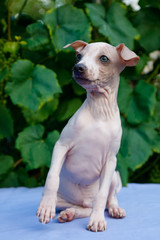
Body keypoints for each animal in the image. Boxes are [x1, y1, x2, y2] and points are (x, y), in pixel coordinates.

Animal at [37, 40, 139, 232]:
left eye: (104, 58)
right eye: (79, 56)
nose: (78, 67)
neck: (99, 111)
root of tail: (83, 200)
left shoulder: (110, 160)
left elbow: (102, 195)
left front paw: (97, 220)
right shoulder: (61, 146)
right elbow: (52, 178)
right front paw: (46, 208)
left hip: (115, 174)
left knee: (107, 198)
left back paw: (114, 209)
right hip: (67, 200)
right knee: (82, 208)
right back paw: (68, 213)